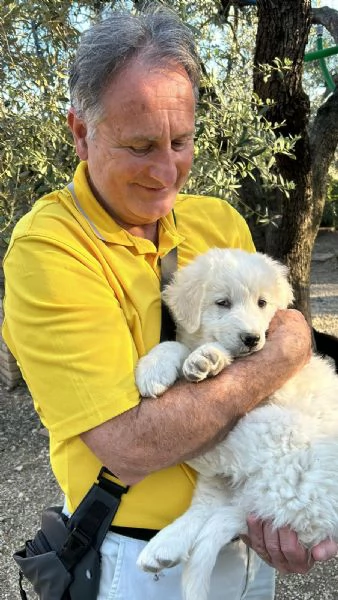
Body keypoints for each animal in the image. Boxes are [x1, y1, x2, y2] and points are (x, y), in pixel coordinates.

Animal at [135, 247, 338, 600]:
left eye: (262, 303)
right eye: (222, 303)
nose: (252, 339)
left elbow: (206, 352)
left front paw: (207, 358)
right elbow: (176, 344)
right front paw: (154, 368)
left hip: (270, 430)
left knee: (202, 455)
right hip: (231, 475)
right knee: (205, 505)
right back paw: (164, 548)